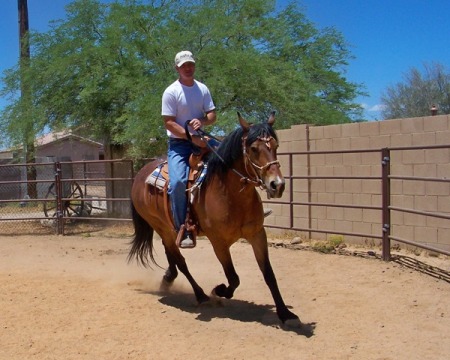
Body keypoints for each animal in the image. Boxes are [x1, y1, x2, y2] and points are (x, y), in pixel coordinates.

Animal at [128, 112, 300, 326]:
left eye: (276, 146)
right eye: (253, 148)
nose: (277, 185)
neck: (230, 193)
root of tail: (139, 176)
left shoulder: (257, 234)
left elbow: (269, 274)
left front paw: (285, 313)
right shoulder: (218, 242)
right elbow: (233, 277)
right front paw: (219, 290)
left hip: (168, 229)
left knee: (171, 255)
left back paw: (168, 278)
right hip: (160, 226)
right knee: (180, 260)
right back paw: (200, 294)